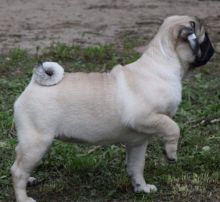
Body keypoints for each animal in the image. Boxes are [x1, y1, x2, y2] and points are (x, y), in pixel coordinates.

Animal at [11, 15, 214, 202]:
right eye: (205, 40)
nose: (213, 49)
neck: (163, 62)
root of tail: (34, 83)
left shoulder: (138, 141)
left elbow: (136, 167)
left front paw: (141, 188)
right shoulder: (144, 117)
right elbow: (173, 127)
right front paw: (171, 153)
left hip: (31, 143)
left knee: (19, 159)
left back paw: (30, 179)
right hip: (37, 142)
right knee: (17, 170)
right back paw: (23, 197)